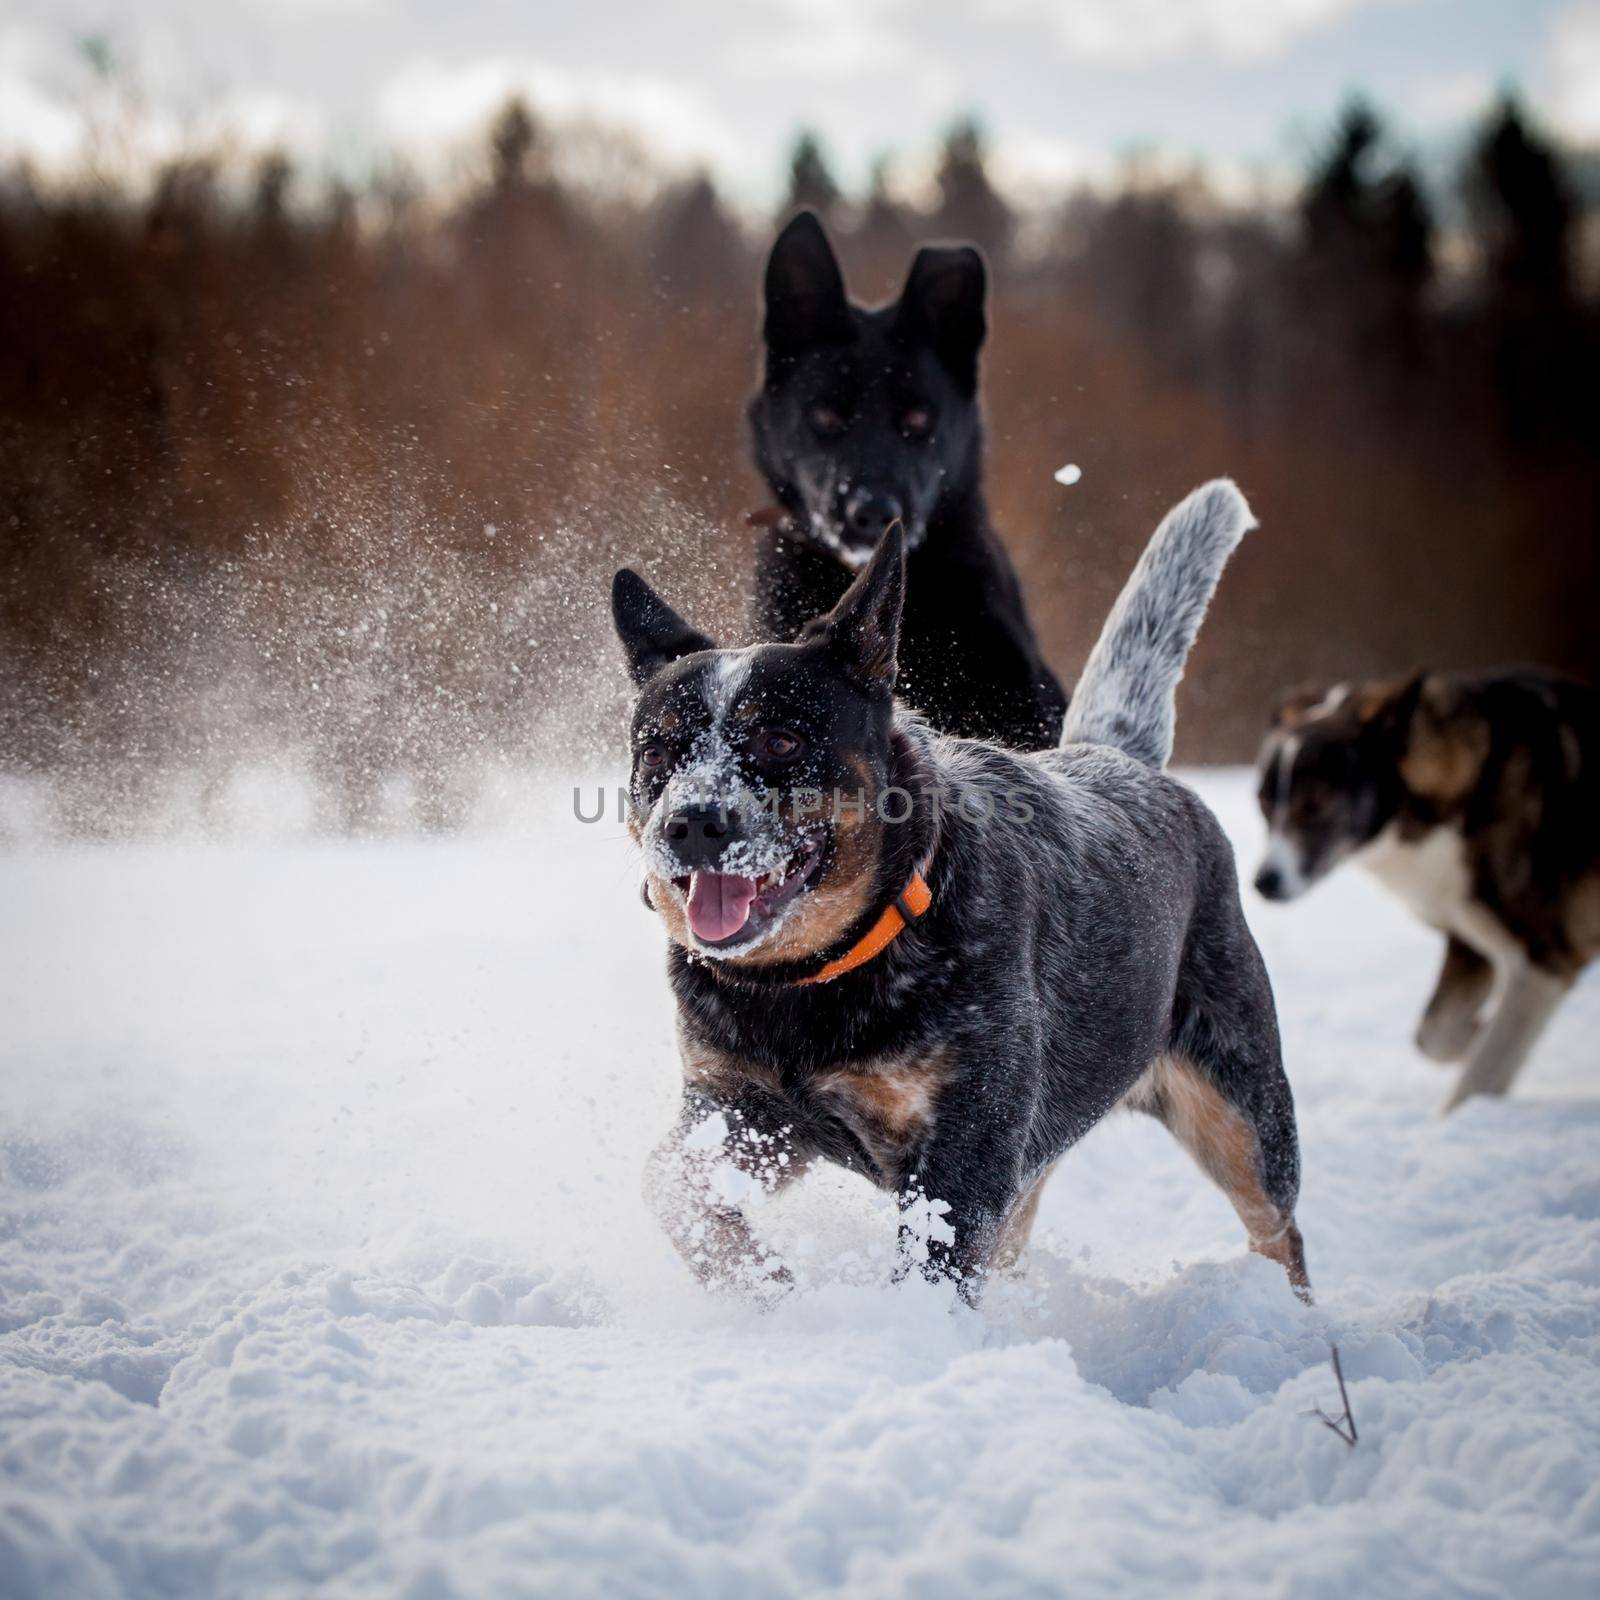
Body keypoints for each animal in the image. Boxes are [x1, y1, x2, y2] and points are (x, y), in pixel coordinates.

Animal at [604, 473, 1305, 1299]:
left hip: (1242, 1107)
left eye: (779, 738)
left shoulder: (965, 1143)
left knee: (1278, 1229)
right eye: (658, 750)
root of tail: (1119, 758)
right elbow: (666, 1184)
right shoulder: (739, 1105)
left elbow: (934, 1268)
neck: (812, 984)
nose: (690, 823)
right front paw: (764, 1286)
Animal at [1254, 668, 1593, 1107]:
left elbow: (1475, 1077)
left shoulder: (1543, 960)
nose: (1263, 882)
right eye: (1263, 804)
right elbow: (1435, 1034)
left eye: (1315, 802)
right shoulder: (1470, 940)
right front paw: (1478, 1034)